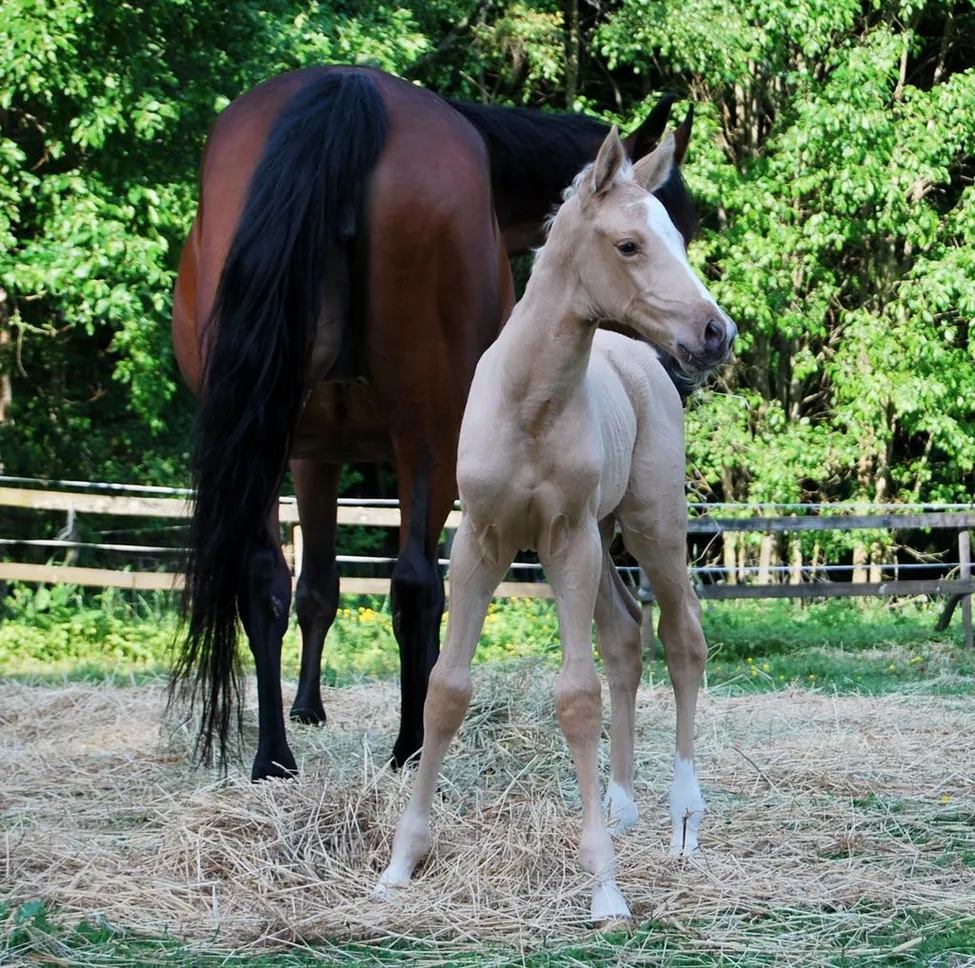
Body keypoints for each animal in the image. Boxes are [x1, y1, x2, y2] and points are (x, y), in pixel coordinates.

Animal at [169, 63, 697, 781]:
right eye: (642, 243)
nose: (690, 358)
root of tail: (346, 88)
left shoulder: (310, 453)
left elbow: (315, 588)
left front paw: (305, 709)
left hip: (267, 434)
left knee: (265, 576)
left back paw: (273, 757)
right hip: (429, 437)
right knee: (416, 585)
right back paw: (410, 744)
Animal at [377, 128, 736, 923]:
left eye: (680, 238)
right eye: (630, 244)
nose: (715, 332)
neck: (530, 405)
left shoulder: (566, 538)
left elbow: (576, 697)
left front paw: (604, 888)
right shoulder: (481, 541)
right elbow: (445, 688)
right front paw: (400, 862)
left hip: (648, 526)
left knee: (682, 638)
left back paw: (684, 821)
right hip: (598, 543)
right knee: (628, 634)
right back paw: (624, 807)